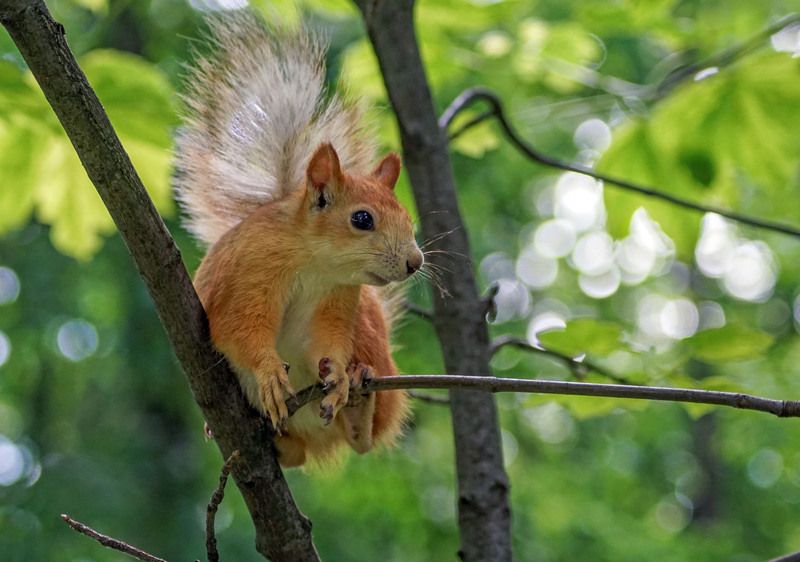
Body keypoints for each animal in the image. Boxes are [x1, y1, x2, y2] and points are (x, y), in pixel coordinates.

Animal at [174, 11, 423, 467]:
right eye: (362, 218)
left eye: (408, 219)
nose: (415, 262)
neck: (314, 262)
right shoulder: (250, 273)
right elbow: (239, 327)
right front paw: (269, 371)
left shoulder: (337, 302)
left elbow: (324, 342)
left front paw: (339, 374)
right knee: (297, 454)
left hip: (367, 335)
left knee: (361, 442)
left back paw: (358, 402)